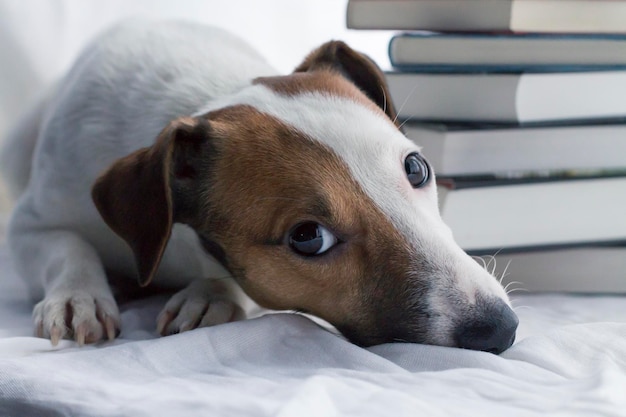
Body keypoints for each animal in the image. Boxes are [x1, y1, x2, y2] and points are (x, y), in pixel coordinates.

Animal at [1, 18, 516, 352]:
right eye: (308, 238)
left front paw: (212, 294)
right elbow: (65, 246)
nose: (500, 327)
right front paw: (78, 297)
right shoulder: (31, 225)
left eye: (416, 169)